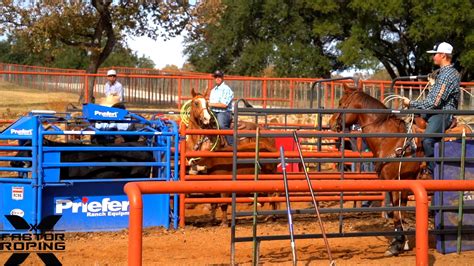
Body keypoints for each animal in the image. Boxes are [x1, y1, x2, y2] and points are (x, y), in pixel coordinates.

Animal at [328, 84, 424, 256]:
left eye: (340, 103)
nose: (330, 123)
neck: (391, 140)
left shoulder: (396, 181)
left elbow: (397, 213)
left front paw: (396, 245)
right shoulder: (403, 182)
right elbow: (398, 212)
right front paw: (401, 242)